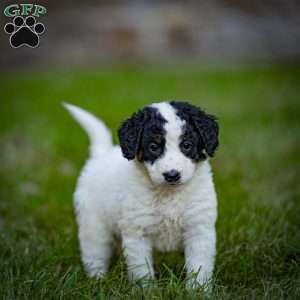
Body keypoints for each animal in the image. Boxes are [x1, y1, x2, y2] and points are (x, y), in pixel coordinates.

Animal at [64, 101, 219, 288]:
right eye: (153, 147)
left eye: (187, 145)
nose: (172, 175)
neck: (169, 195)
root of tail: (101, 154)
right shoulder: (137, 233)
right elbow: (142, 271)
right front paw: (148, 291)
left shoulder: (199, 229)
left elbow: (199, 267)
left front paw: (197, 290)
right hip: (93, 225)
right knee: (94, 253)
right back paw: (97, 280)